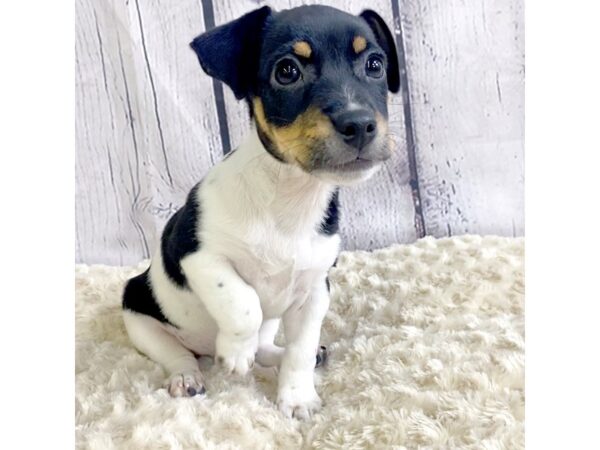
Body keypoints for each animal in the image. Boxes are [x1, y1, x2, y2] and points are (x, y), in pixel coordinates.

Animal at [121, 3, 398, 420]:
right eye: (287, 71)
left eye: (375, 64)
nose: (360, 124)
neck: (290, 197)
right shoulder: (197, 256)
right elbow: (243, 302)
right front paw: (235, 352)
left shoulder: (314, 290)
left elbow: (300, 350)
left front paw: (297, 397)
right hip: (140, 318)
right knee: (176, 354)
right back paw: (189, 375)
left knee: (270, 347)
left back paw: (278, 355)